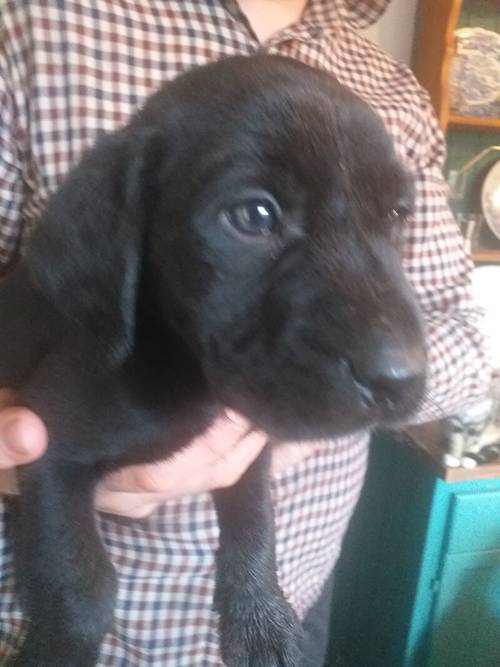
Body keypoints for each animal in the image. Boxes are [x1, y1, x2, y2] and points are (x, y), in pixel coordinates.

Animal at [0, 54, 426, 664]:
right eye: (253, 216)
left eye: (396, 215)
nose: (401, 379)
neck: (186, 373)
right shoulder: (52, 448)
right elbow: (83, 588)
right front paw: (54, 652)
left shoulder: (250, 445)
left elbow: (255, 527)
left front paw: (260, 619)